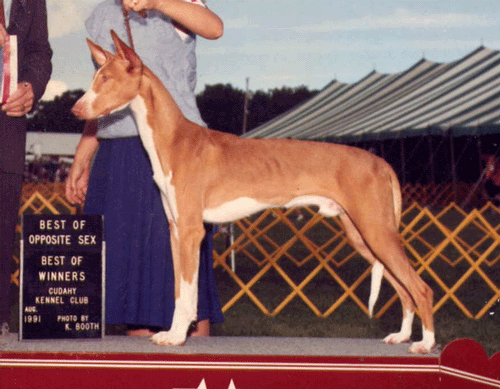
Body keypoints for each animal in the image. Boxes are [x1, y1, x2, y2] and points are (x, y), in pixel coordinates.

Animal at [72, 31, 436, 352]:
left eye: (106, 79)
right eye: (96, 77)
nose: (75, 110)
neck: (174, 140)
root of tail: (379, 161)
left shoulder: (191, 232)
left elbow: (187, 291)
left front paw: (177, 337)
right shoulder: (175, 230)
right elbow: (179, 291)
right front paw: (174, 333)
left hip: (376, 230)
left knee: (421, 288)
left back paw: (426, 343)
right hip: (363, 236)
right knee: (404, 290)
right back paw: (402, 336)